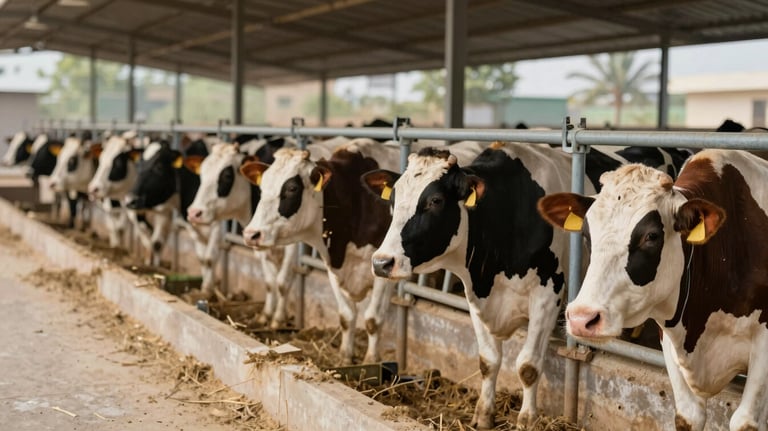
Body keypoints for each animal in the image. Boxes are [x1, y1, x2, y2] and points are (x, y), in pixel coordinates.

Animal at [240, 138, 403, 364]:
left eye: (292, 188)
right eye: (262, 188)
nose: (251, 234)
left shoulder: (383, 266)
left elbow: (372, 319)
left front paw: (370, 360)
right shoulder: (332, 263)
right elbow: (346, 316)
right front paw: (345, 357)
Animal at [361, 141, 596, 429]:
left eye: (435, 201)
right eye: (393, 200)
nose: (382, 262)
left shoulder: (547, 295)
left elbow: (528, 366)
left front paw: (527, 419)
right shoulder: (475, 294)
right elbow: (488, 360)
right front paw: (484, 414)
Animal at [537, 149, 768, 431]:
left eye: (651, 236)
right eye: (586, 234)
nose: (582, 318)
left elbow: (745, 421)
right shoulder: (669, 334)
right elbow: (688, 416)